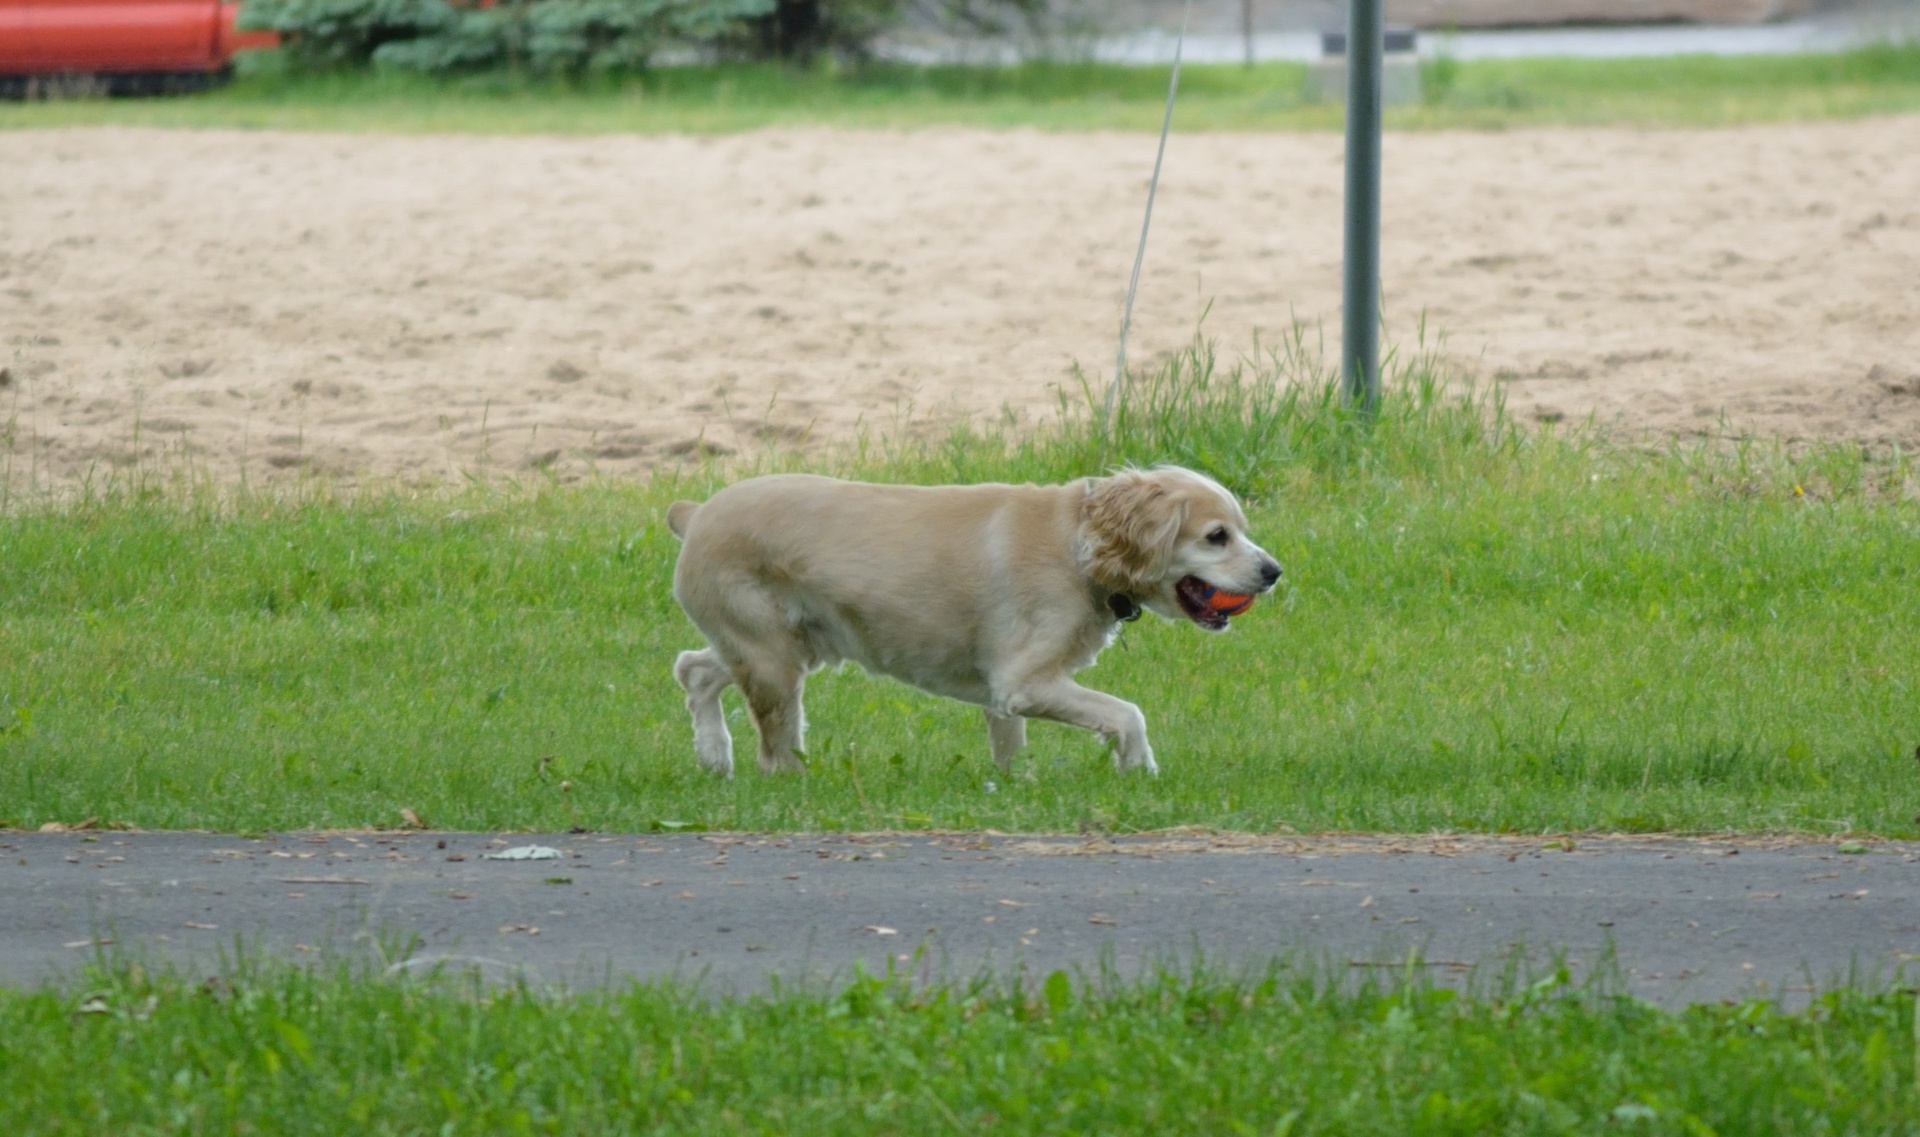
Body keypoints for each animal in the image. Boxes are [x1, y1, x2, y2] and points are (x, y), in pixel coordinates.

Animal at [668, 460, 1282, 772]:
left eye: (1242, 529)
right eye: (1217, 536)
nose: (1274, 571)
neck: (1078, 543)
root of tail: (697, 513)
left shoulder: (1003, 695)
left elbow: (1010, 751)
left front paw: (1014, 789)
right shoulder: (1024, 683)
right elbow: (1128, 714)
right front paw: (1139, 770)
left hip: (788, 646)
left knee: (693, 669)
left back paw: (713, 755)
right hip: (772, 659)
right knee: (774, 749)